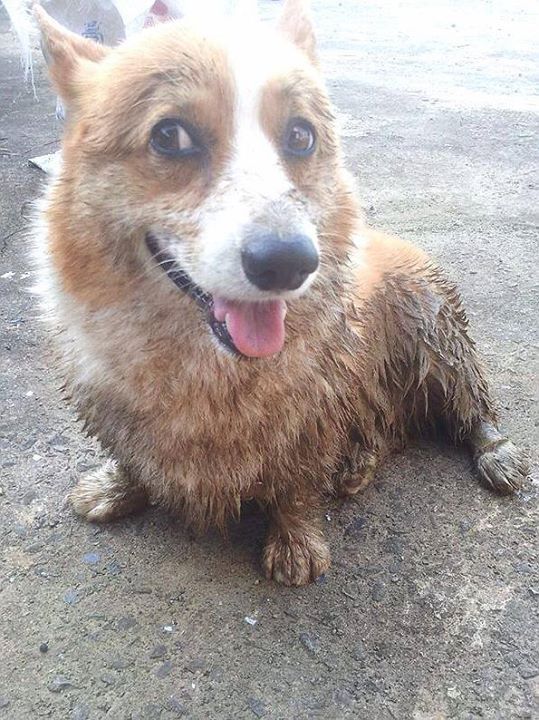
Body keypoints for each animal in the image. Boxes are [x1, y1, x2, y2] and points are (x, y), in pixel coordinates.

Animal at [31, 1, 528, 584]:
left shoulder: (314, 415)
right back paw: (357, 463)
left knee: (471, 404)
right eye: (170, 136)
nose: (290, 262)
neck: (203, 361)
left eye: (300, 136)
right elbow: (133, 458)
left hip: (436, 333)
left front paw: (296, 544)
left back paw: (492, 452)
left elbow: (295, 486)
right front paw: (117, 488)